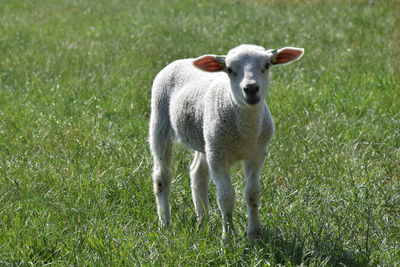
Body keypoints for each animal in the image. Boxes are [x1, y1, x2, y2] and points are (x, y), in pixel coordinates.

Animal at [149, 44, 304, 241]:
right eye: (229, 69)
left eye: (267, 65)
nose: (251, 89)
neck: (245, 133)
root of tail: (181, 60)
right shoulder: (219, 157)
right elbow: (226, 197)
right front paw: (227, 238)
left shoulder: (257, 155)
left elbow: (252, 194)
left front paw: (254, 235)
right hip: (160, 121)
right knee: (162, 176)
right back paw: (165, 224)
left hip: (206, 138)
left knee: (198, 174)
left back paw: (203, 223)